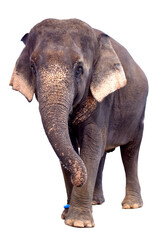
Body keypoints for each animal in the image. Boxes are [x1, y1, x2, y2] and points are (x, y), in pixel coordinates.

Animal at [9, 18, 148, 227]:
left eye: (79, 69)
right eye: (32, 67)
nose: (65, 208)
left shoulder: (103, 98)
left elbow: (91, 143)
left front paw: (78, 222)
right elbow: (75, 147)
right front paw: (67, 216)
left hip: (139, 115)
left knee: (130, 151)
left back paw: (131, 205)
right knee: (102, 153)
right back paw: (96, 202)